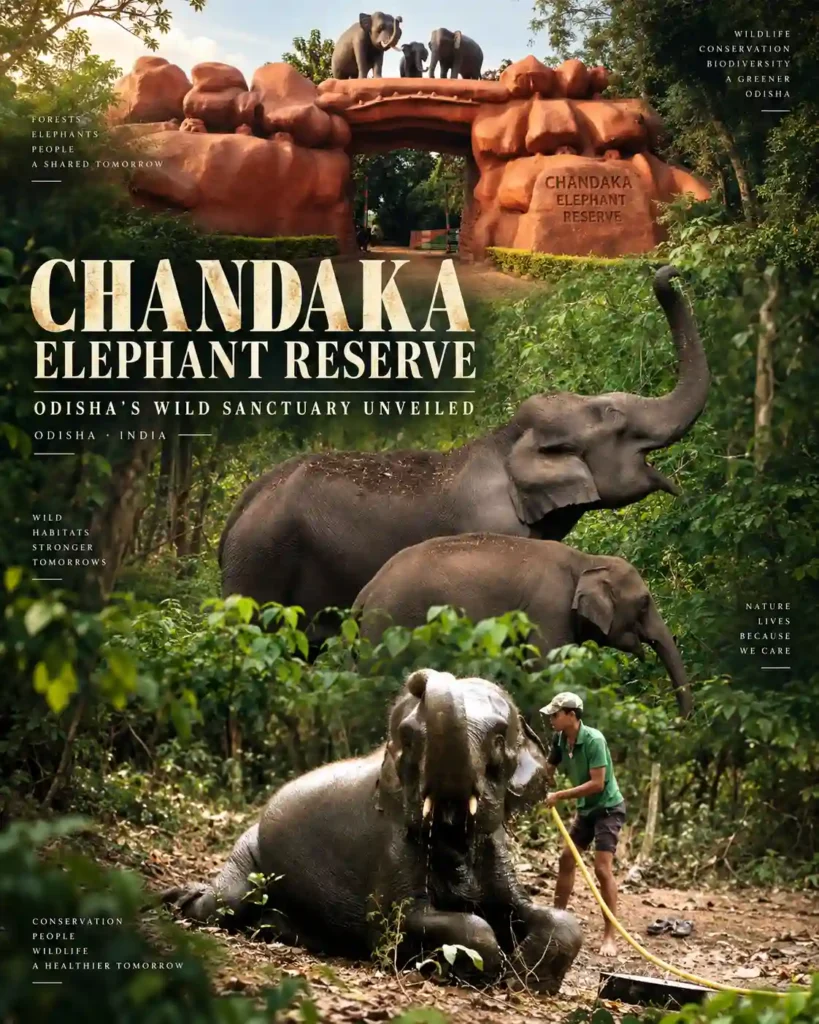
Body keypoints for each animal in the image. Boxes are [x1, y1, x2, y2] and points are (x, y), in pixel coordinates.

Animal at [163, 669, 582, 992]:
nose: (417, 680)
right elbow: (398, 925)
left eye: (498, 739)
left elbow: (547, 917)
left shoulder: (496, 853)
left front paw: (526, 980)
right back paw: (179, 900)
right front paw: (485, 973)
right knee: (223, 903)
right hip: (250, 850)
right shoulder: (391, 847)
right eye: (409, 739)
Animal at [219, 266, 709, 642]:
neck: (506, 441)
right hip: (261, 563)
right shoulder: (495, 525)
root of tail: (237, 515)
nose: (671, 271)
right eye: (615, 418)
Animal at [354, 535, 692, 716]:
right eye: (644, 602)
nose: (683, 721)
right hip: (390, 628)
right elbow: (545, 672)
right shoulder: (548, 610)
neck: (586, 560)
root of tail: (365, 593)